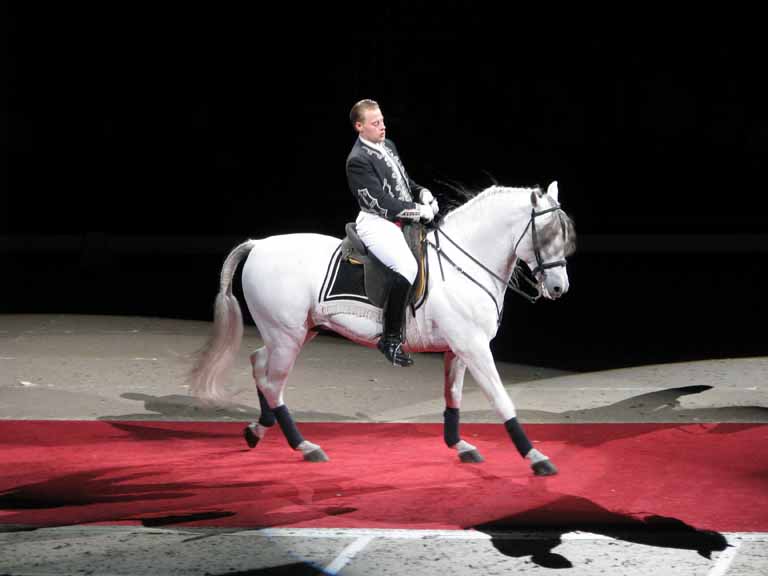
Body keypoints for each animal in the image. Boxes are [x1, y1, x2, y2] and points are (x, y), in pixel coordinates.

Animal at [190, 181, 576, 476]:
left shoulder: (459, 349)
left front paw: (460, 445)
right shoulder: (474, 346)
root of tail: (259, 244)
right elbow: (501, 399)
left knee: (259, 364)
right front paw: (536, 457)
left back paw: (258, 431)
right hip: (286, 336)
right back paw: (305, 446)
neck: (463, 264)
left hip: (295, 331)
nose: (559, 288)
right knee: (272, 382)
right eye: (546, 234)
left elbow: (454, 397)